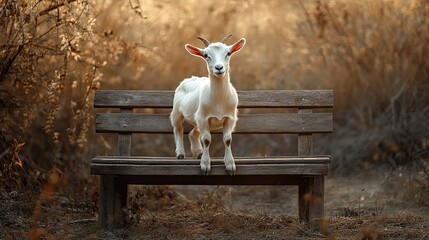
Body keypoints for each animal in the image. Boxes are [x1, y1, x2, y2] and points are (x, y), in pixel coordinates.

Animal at [170, 34, 246, 175]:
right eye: (206, 55)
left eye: (228, 53)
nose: (219, 68)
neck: (219, 100)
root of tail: (188, 79)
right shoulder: (203, 118)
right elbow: (206, 139)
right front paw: (205, 165)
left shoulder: (230, 118)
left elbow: (227, 139)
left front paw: (230, 165)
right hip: (176, 112)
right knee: (178, 129)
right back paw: (180, 153)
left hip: (196, 120)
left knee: (193, 133)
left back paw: (198, 152)